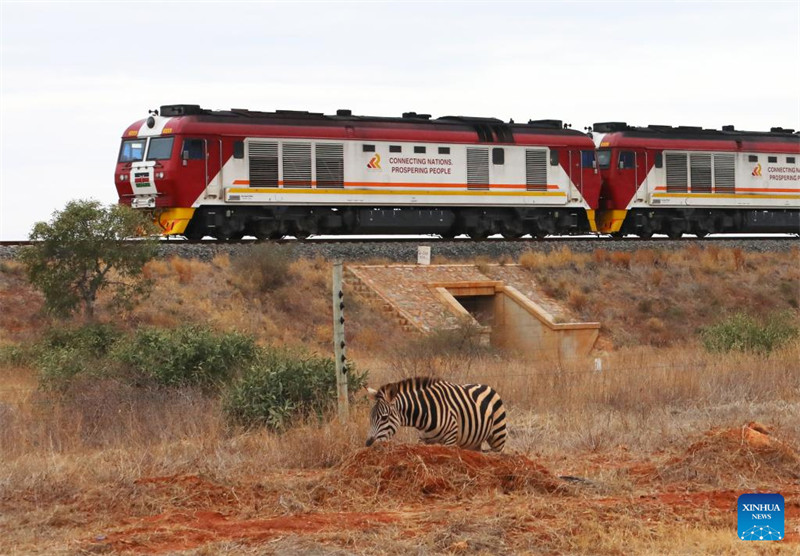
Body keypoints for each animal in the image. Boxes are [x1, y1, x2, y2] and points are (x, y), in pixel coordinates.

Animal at [364, 378, 506, 452]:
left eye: (384, 417)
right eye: (370, 418)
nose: (368, 444)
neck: (425, 413)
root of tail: (486, 386)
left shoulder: (450, 439)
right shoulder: (423, 440)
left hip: (498, 436)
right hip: (474, 442)